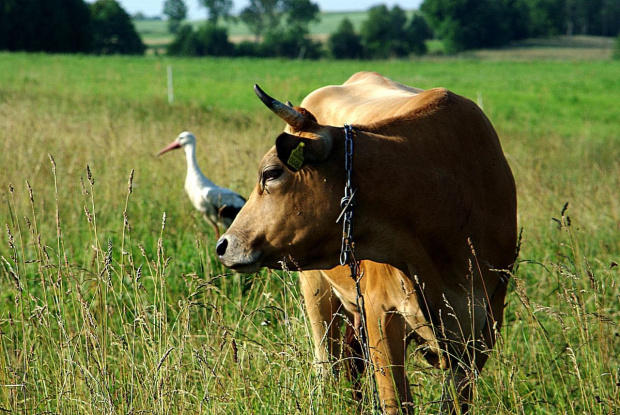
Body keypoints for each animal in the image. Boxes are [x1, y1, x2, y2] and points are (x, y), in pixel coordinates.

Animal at [218, 71, 520, 412]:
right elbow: (396, 401)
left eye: (270, 173)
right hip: (317, 291)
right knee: (329, 366)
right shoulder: (381, 313)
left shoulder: (484, 327)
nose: (224, 245)